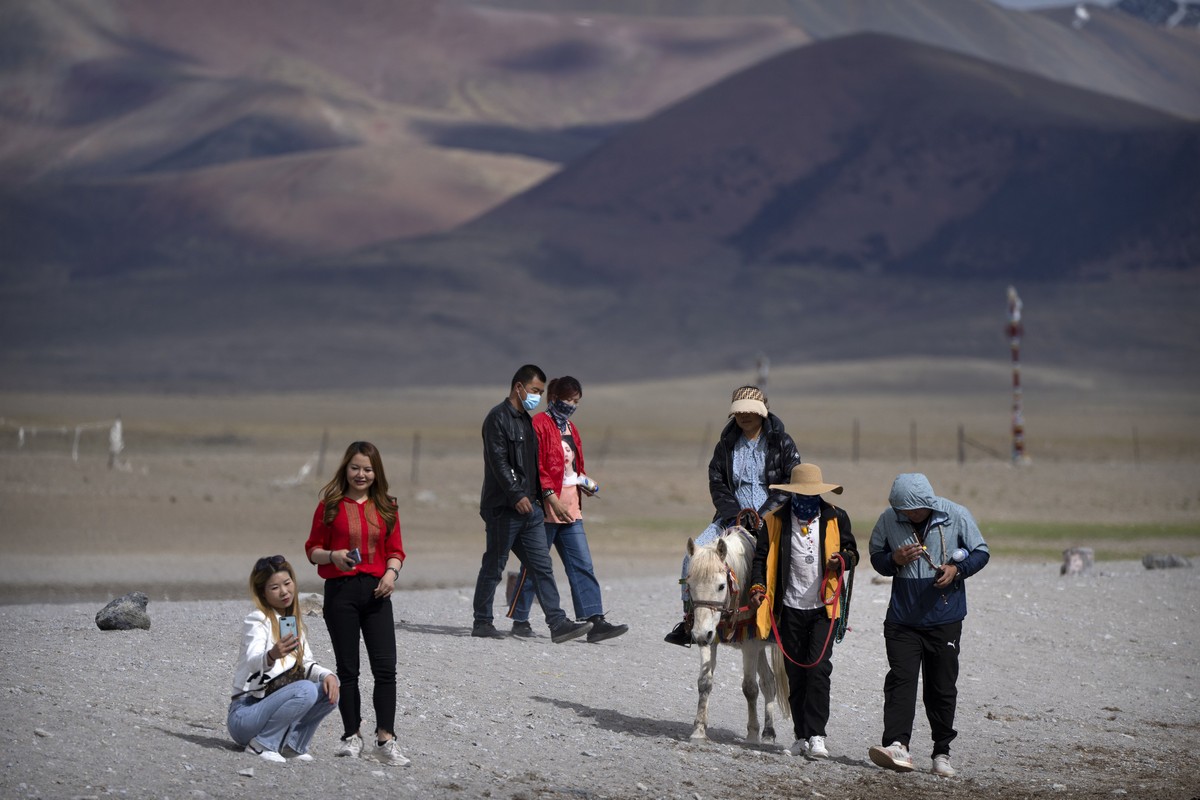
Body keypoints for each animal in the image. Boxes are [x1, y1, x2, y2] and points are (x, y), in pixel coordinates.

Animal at [686, 525, 787, 743]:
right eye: (689, 585)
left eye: (721, 586)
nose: (699, 634)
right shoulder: (711, 637)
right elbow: (704, 682)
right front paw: (699, 730)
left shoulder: (750, 644)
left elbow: (749, 688)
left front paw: (752, 734)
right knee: (769, 681)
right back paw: (769, 732)